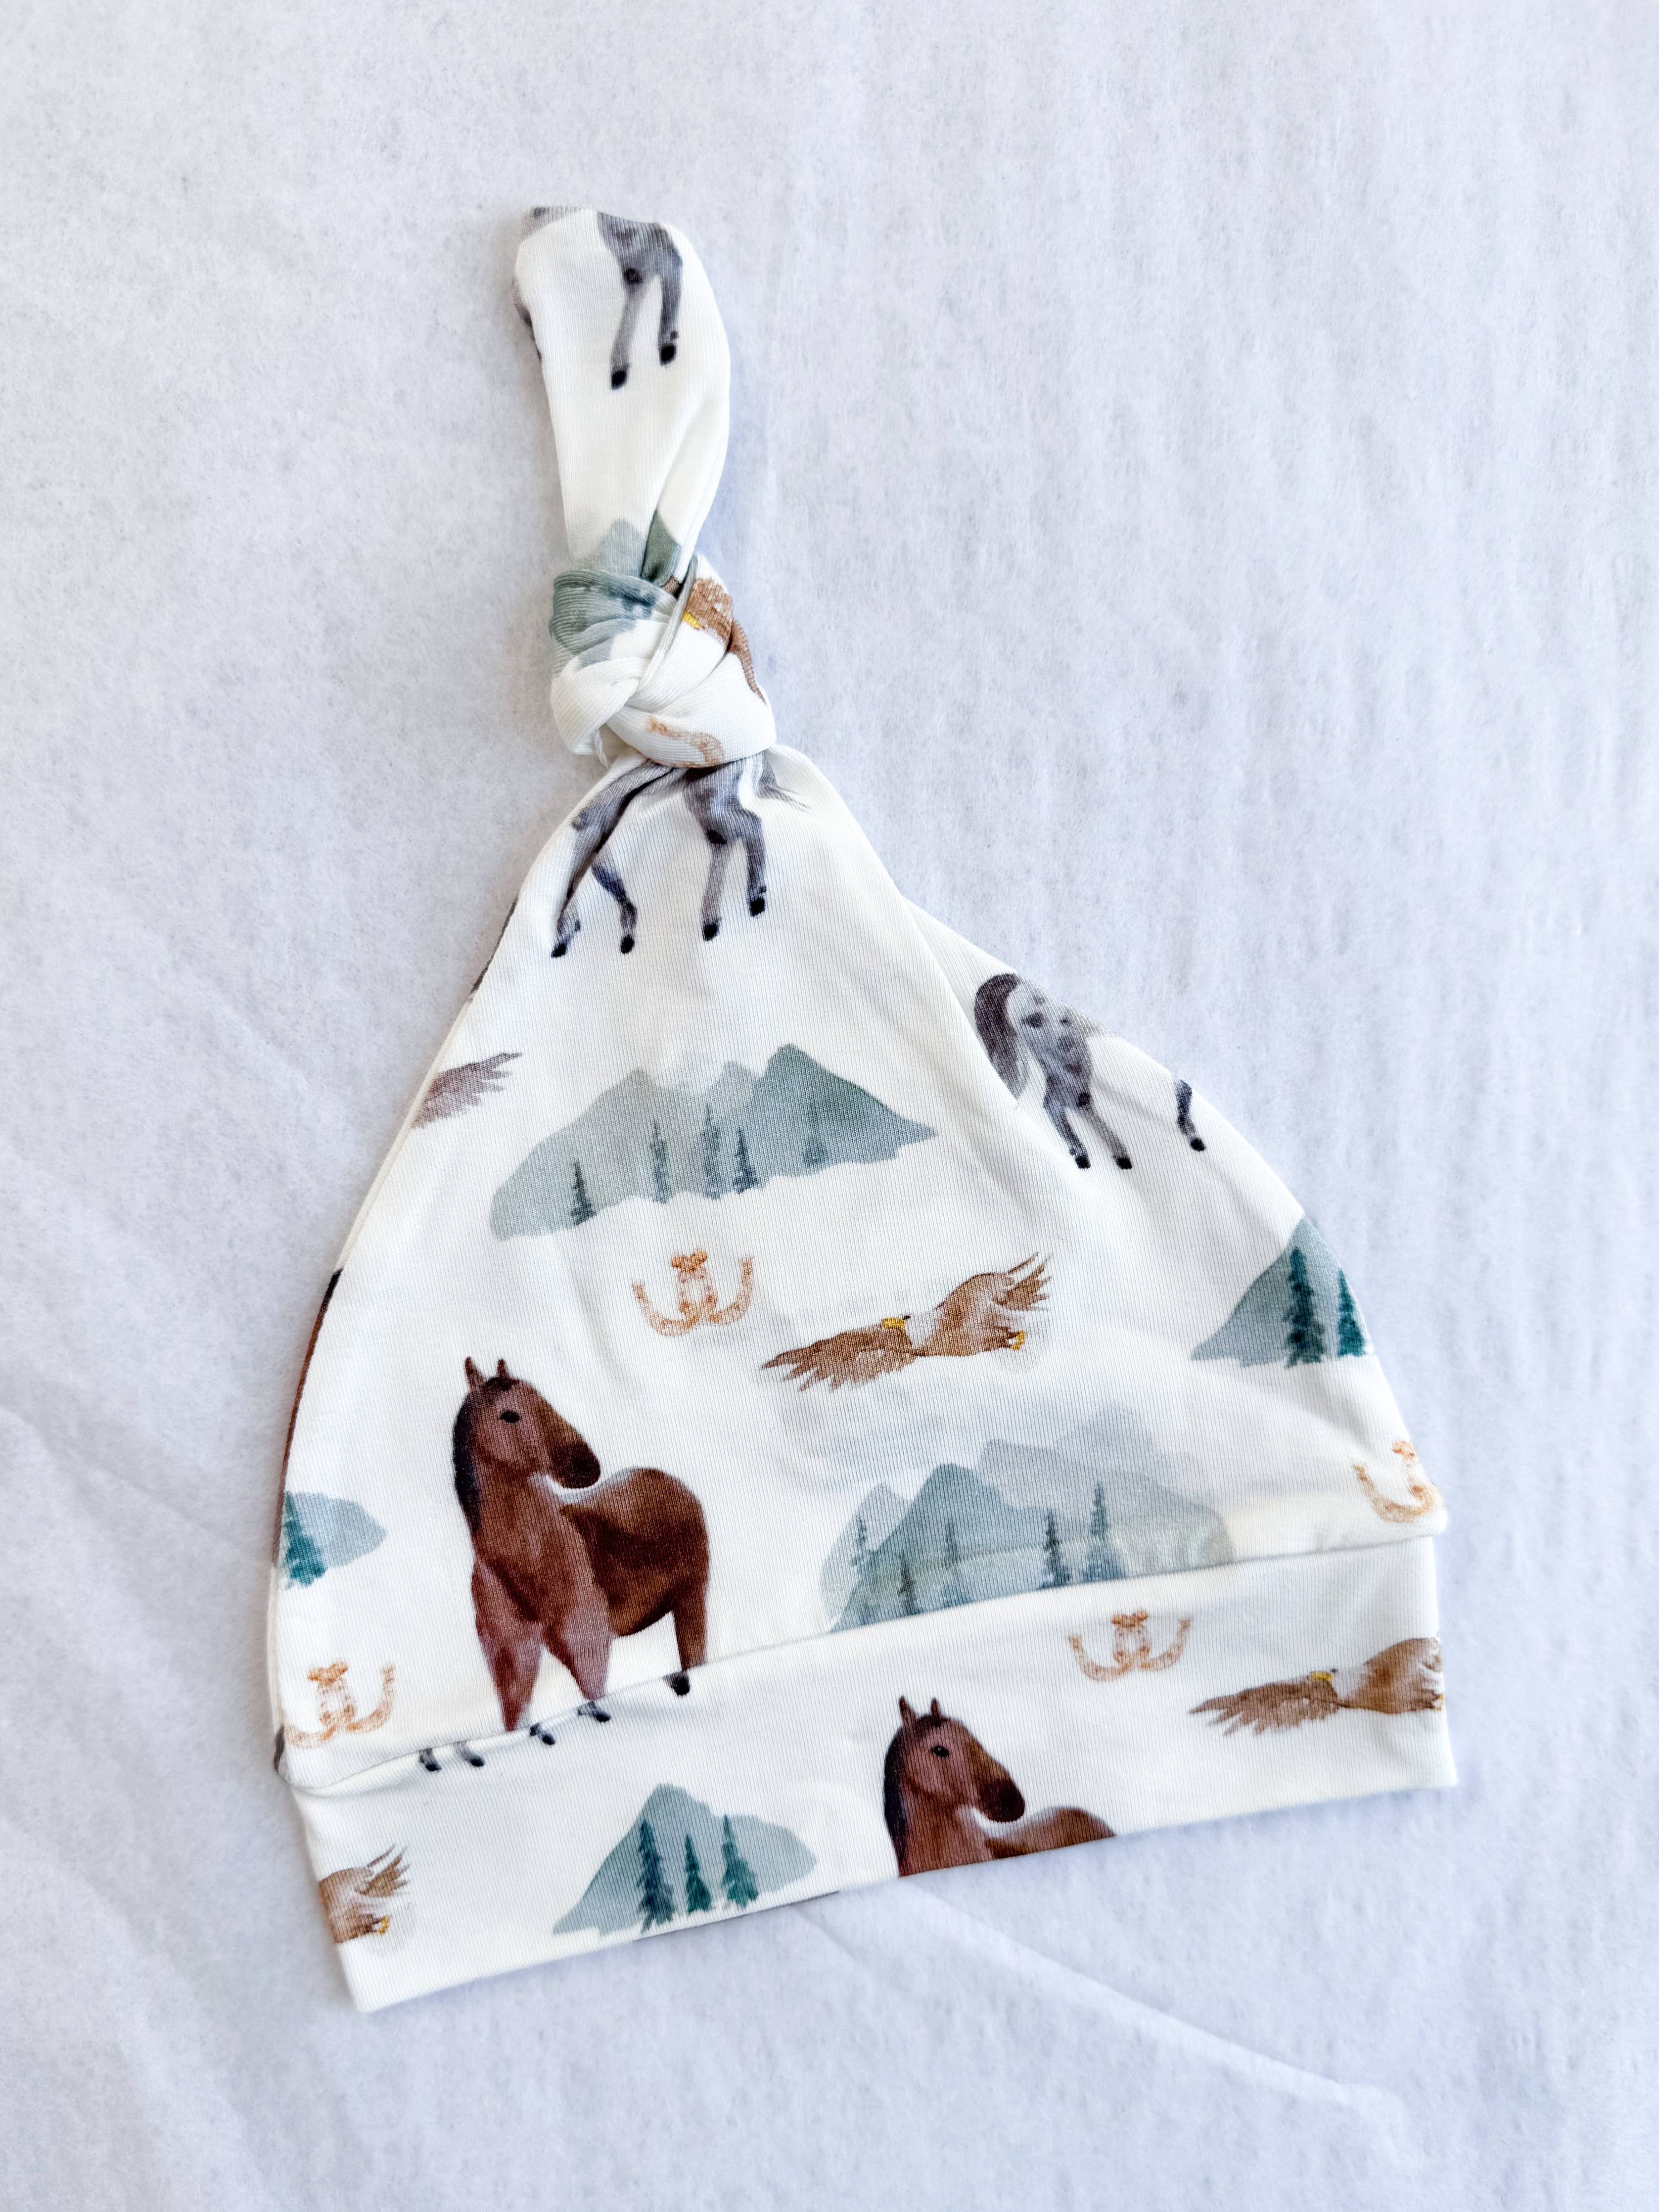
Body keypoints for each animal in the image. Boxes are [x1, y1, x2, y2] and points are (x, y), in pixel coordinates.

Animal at [452, 1359, 709, 1729]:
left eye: (542, 1398)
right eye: (510, 1415)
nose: (587, 1466)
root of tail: (666, 1479)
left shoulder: (589, 1652)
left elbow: (597, 1702)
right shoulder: (511, 1663)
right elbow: (517, 1725)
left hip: (692, 1599)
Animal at [552, 754, 795, 959]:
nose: (557, 950)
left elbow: (594, 874)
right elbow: (593, 875)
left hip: (708, 800)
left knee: (750, 824)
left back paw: (753, 900)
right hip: (707, 803)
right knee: (727, 840)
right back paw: (714, 921)